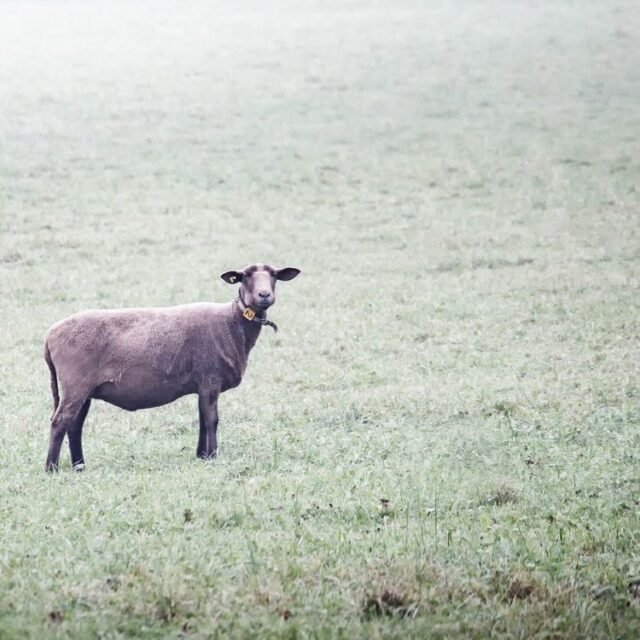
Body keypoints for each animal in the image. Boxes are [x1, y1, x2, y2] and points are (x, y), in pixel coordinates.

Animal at [43, 263, 301, 471]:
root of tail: (50, 334)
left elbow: (202, 418)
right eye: (245, 276)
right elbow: (212, 419)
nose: (264, 294)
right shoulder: (211, 379)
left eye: (274, 275)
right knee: (60, 422)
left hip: (84, 389)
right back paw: (51, 468)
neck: (232, 321)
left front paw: (202, 455)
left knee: (74, 426)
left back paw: (79, 466)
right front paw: (213, 456)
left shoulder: (203, 384)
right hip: (75, 384)